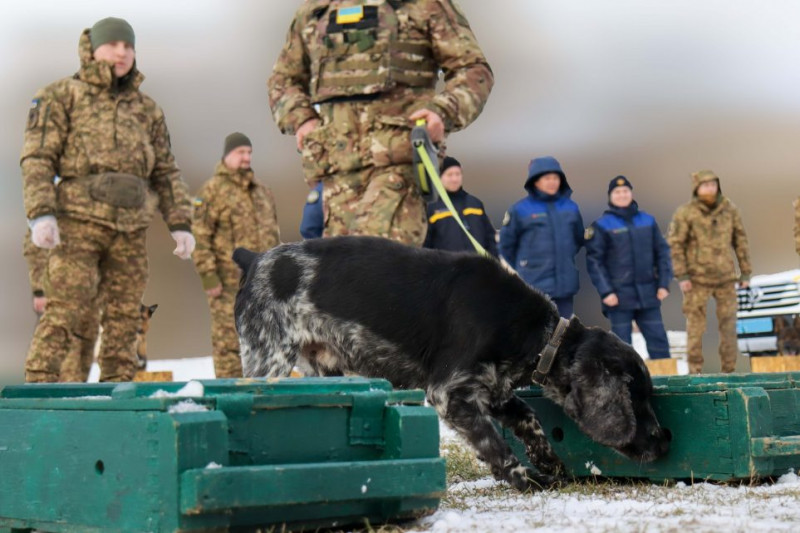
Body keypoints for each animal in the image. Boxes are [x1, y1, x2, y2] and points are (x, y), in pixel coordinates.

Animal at [234, 237, 672, 490]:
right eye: (636, 400)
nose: (665, 440)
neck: (538, 334)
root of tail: (253, 257)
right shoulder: (450, 393)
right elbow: (494, 443)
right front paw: (525, 478)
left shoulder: (494, 388)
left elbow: (530, 419)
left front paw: (552, 463)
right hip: (268, 360)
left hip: (325, 370)